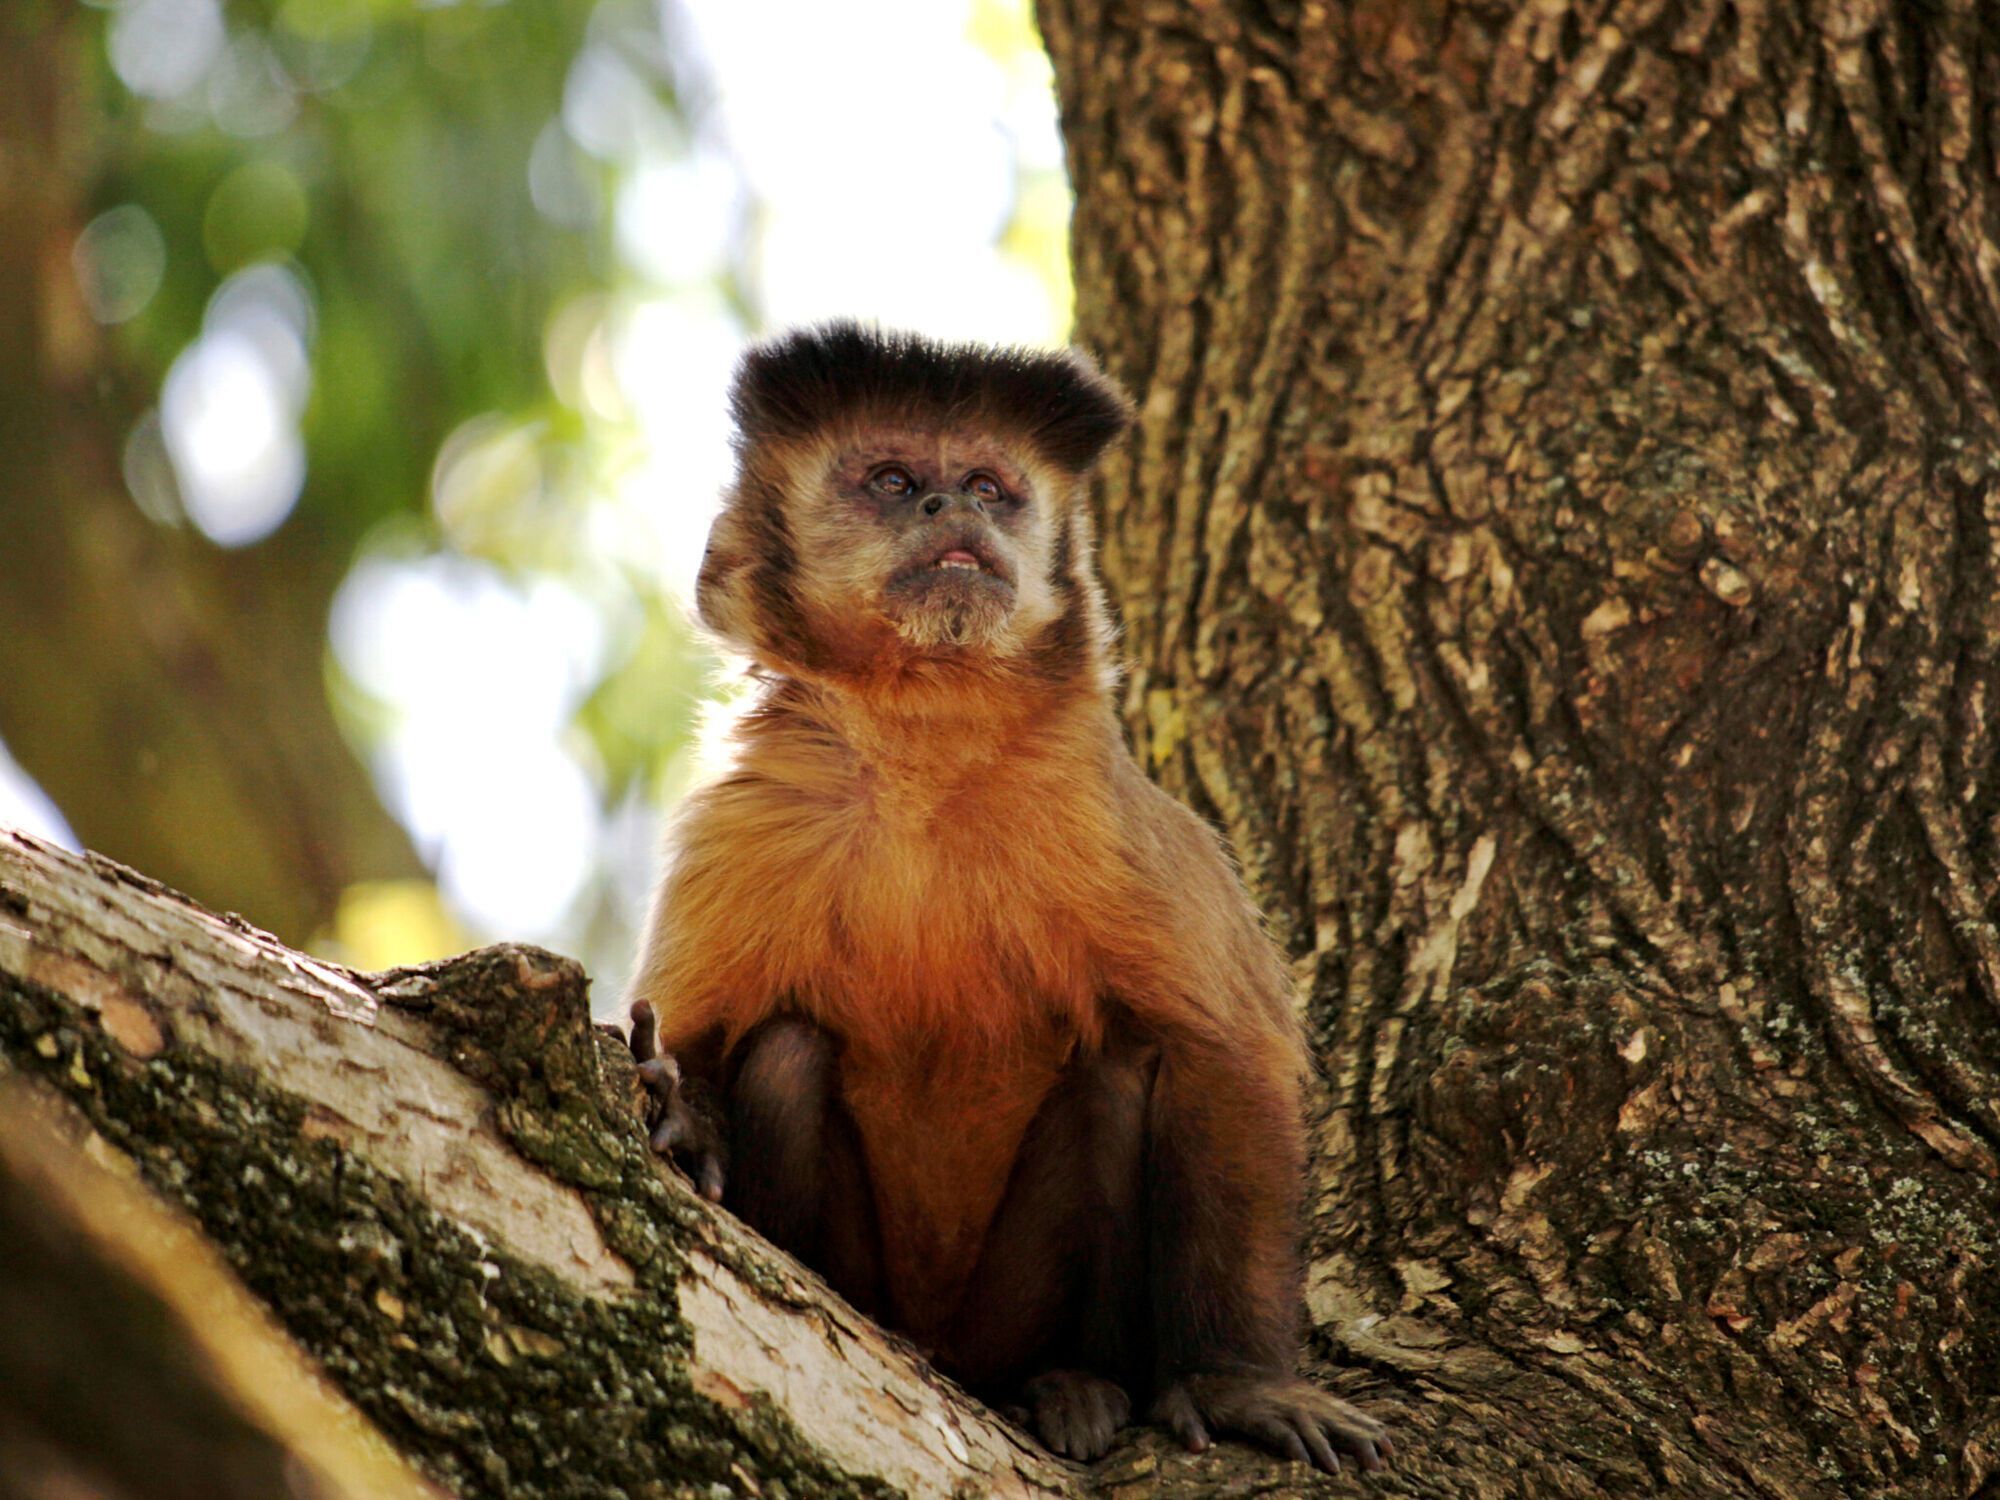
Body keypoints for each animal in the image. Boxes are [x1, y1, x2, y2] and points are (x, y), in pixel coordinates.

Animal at [624, 324, 1392, 1472]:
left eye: (990, 485)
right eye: (893, 481)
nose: (955, 508)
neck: (924, 744)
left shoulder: (1109, 814)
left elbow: (1228, 1060)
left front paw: (1240, 1383)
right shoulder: (743, 819)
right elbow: (700, 1033)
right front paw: (681, 1108)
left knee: (1118, 1074)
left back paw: (1071, 1382)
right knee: (790, 1055)